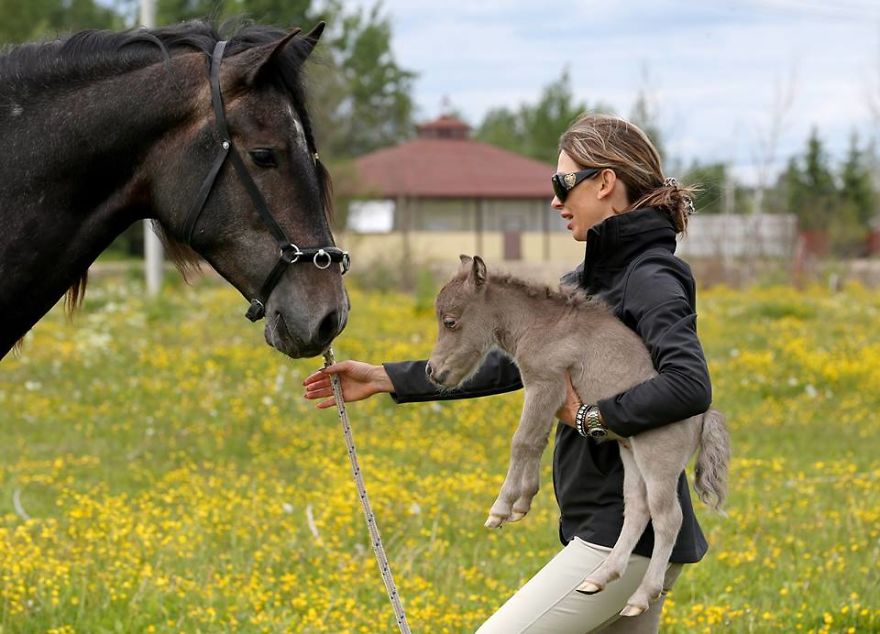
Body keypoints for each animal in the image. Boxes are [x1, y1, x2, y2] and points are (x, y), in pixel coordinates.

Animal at [425, 255, 730, 617]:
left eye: (450, 321)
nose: (432, 371)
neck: (542, 325)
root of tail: (703, 417)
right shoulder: (546, 394)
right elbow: (536, 442)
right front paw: (523, 502)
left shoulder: (546, 384)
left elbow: (521, 442)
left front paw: (500, 508)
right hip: (631, 456)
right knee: (637, 508)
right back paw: (600, 577)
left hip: (658, 462)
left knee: (668, 517)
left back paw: (640, 596)